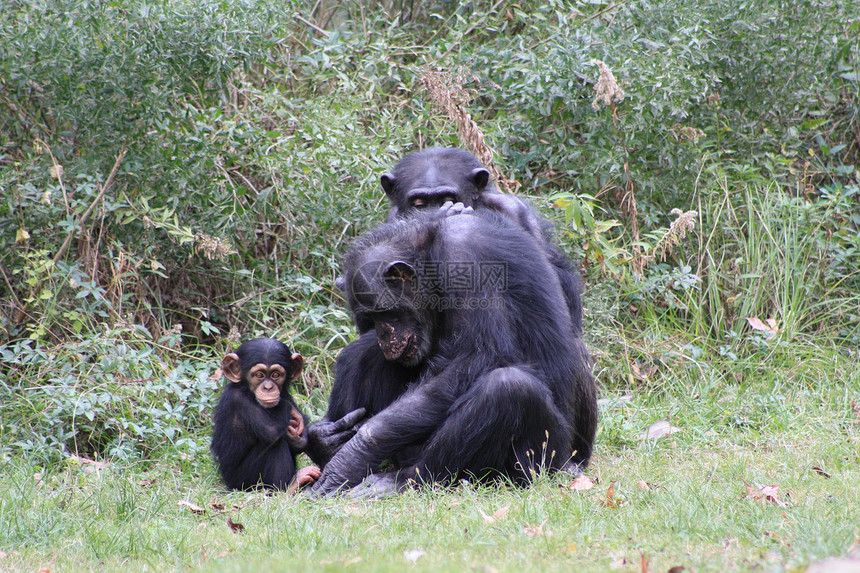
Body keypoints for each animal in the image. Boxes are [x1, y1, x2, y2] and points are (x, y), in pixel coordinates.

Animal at [212, 336, 322, 492]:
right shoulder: (238, 400)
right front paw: (296, 415)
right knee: (275, 445)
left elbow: (299, 445)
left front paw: (297, 431)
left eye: (276, 375)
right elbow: (272, 431)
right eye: (259, 375)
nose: (268, 387)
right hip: (243, 482)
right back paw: (291, 486)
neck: (247, 390)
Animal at [310, 210, 596, 496]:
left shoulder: (465, 256)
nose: (383, 334)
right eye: (369, 316)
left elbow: (479, 355)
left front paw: (351, 457)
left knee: (508, 388)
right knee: (362, 353)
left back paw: (401, 480)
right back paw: (327, 445)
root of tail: (571, 463)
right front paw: (327, 442)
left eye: (384, 312)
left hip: (545, 462)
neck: (429, 253)